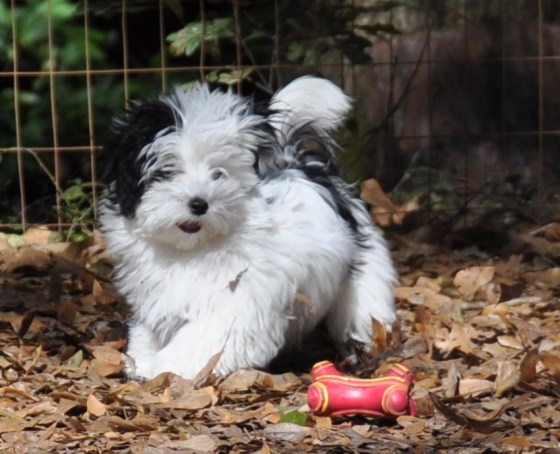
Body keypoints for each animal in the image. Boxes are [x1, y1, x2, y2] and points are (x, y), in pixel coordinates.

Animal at [98, 76, 397, 380]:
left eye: (218, 173)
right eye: (167, 171)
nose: (199, 203)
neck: (194, 249)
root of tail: (300, 164)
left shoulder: (237, 299)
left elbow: (204, 339)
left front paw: (169, 368)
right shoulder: (158, 293)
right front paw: (143, 361)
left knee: (364, 301)